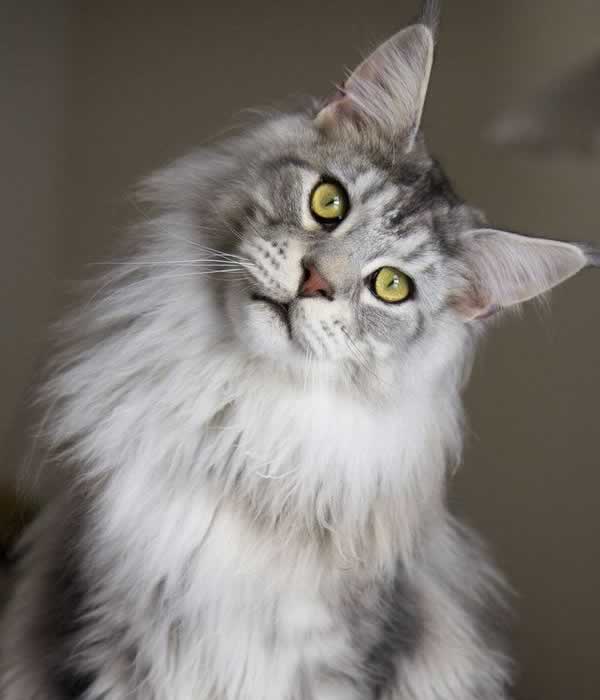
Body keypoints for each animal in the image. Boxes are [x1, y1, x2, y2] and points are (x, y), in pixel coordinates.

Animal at [1, 1, 600, 700]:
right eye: (328, 201)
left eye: (391, 287)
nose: (315, 281)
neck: (238, 420)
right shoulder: (100, 624)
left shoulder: (338, 657)